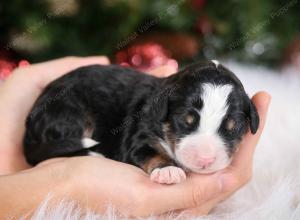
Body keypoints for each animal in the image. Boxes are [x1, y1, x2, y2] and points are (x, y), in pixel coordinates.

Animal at [24, 60, 258, 184]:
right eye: (185, 121)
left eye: (232, 128)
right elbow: (150, 152)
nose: (205, 160)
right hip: (69, 112)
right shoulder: (137, 138)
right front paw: (168, 170)